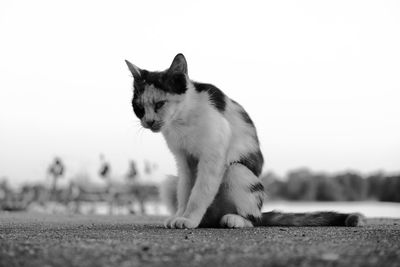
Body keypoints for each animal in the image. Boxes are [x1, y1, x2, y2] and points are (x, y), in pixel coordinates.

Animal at [126, 53, 366, 229]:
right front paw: (181, 216)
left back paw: (234, 220)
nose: (149, 121)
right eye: (139, 109)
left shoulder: (213, 157)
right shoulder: (184, 162)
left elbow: (199, 193)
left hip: (236, 171)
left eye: (159, 104)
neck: (182, 120)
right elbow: (186, 191)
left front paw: (189, 219)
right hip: (170, 182)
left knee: (253, 220)